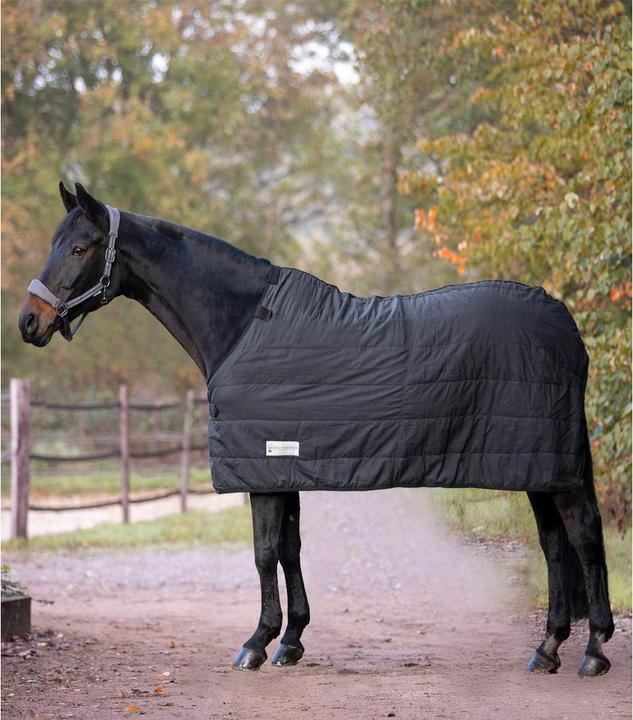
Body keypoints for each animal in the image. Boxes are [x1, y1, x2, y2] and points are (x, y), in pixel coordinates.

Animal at [18, 182, 614, 677]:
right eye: (55, 241)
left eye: (80, 248)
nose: (29, 322)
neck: (241, 325)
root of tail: (564, 322)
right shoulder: (282, 465)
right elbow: (290, 548)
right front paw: (290, 641)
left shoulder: (261, 466)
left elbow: (263, 552)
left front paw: (256, 643)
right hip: (537, 467)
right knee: (554, 544)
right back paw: (548, 648)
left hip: (550, 467)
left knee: (583, 537)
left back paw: (593, 652)